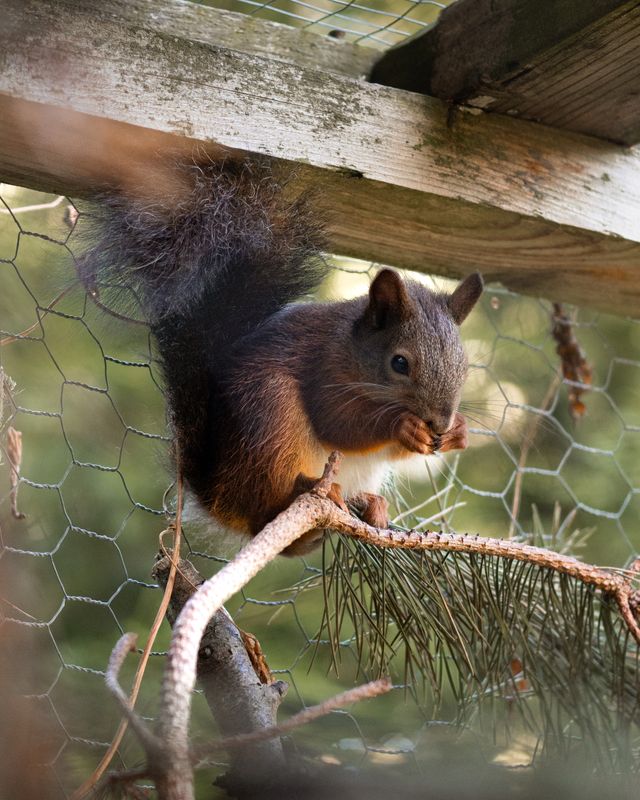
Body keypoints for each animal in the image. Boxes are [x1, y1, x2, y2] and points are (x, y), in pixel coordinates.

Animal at [78, 159, 483, 555]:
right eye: (400, 363)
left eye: (464, 367)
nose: (440, 423)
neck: (352, 352)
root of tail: (219, 500)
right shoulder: (324, 368)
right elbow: (338, 423)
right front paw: (403, 425)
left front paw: (460, 432)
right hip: (269, 412)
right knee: (268, 511)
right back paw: (305, 492)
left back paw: (369, 504)